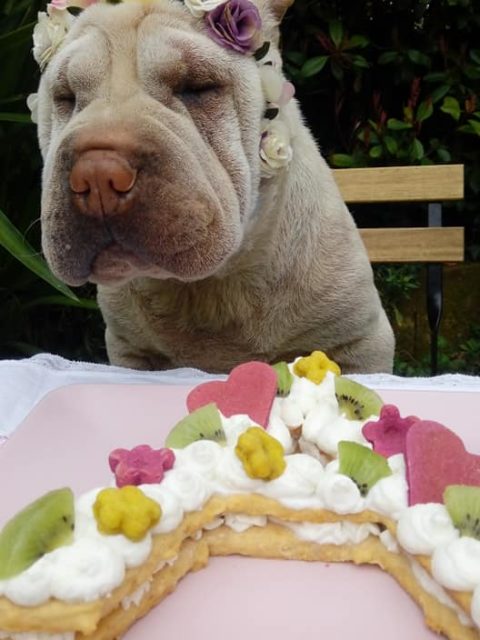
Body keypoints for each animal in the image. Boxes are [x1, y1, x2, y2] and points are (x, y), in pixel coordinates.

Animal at [32, 0, 394, 372]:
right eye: (65, 96)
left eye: (198, 87)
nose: (97, 175)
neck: (214, 286)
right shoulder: (130, 349)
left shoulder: (359, 342)